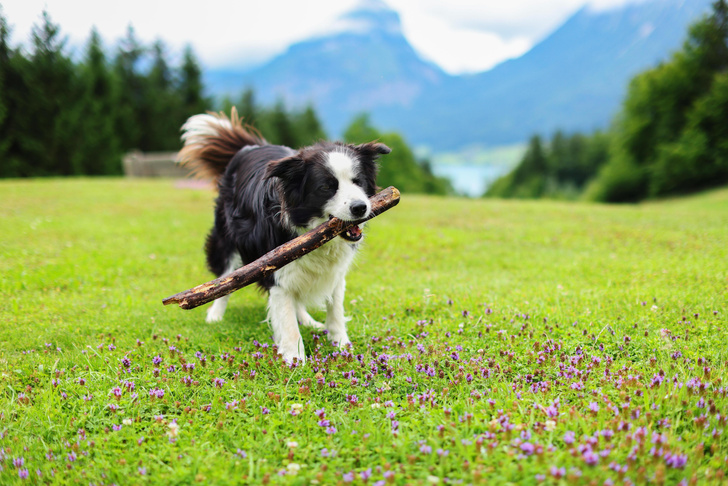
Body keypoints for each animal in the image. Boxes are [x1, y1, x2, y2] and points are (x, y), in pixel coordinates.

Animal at [177, 108, 392, 362]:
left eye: (358, 182)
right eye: (326, 187)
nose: (360, 207)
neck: (312, 232)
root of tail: (250, 147)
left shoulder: (335, 271)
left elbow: (335, 307)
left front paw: (341, 345)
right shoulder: (273, 267)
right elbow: (286, 319)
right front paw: (294, 360)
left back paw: (308, 320)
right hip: (227, 237)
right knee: (224, 278)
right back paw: (215, 315)